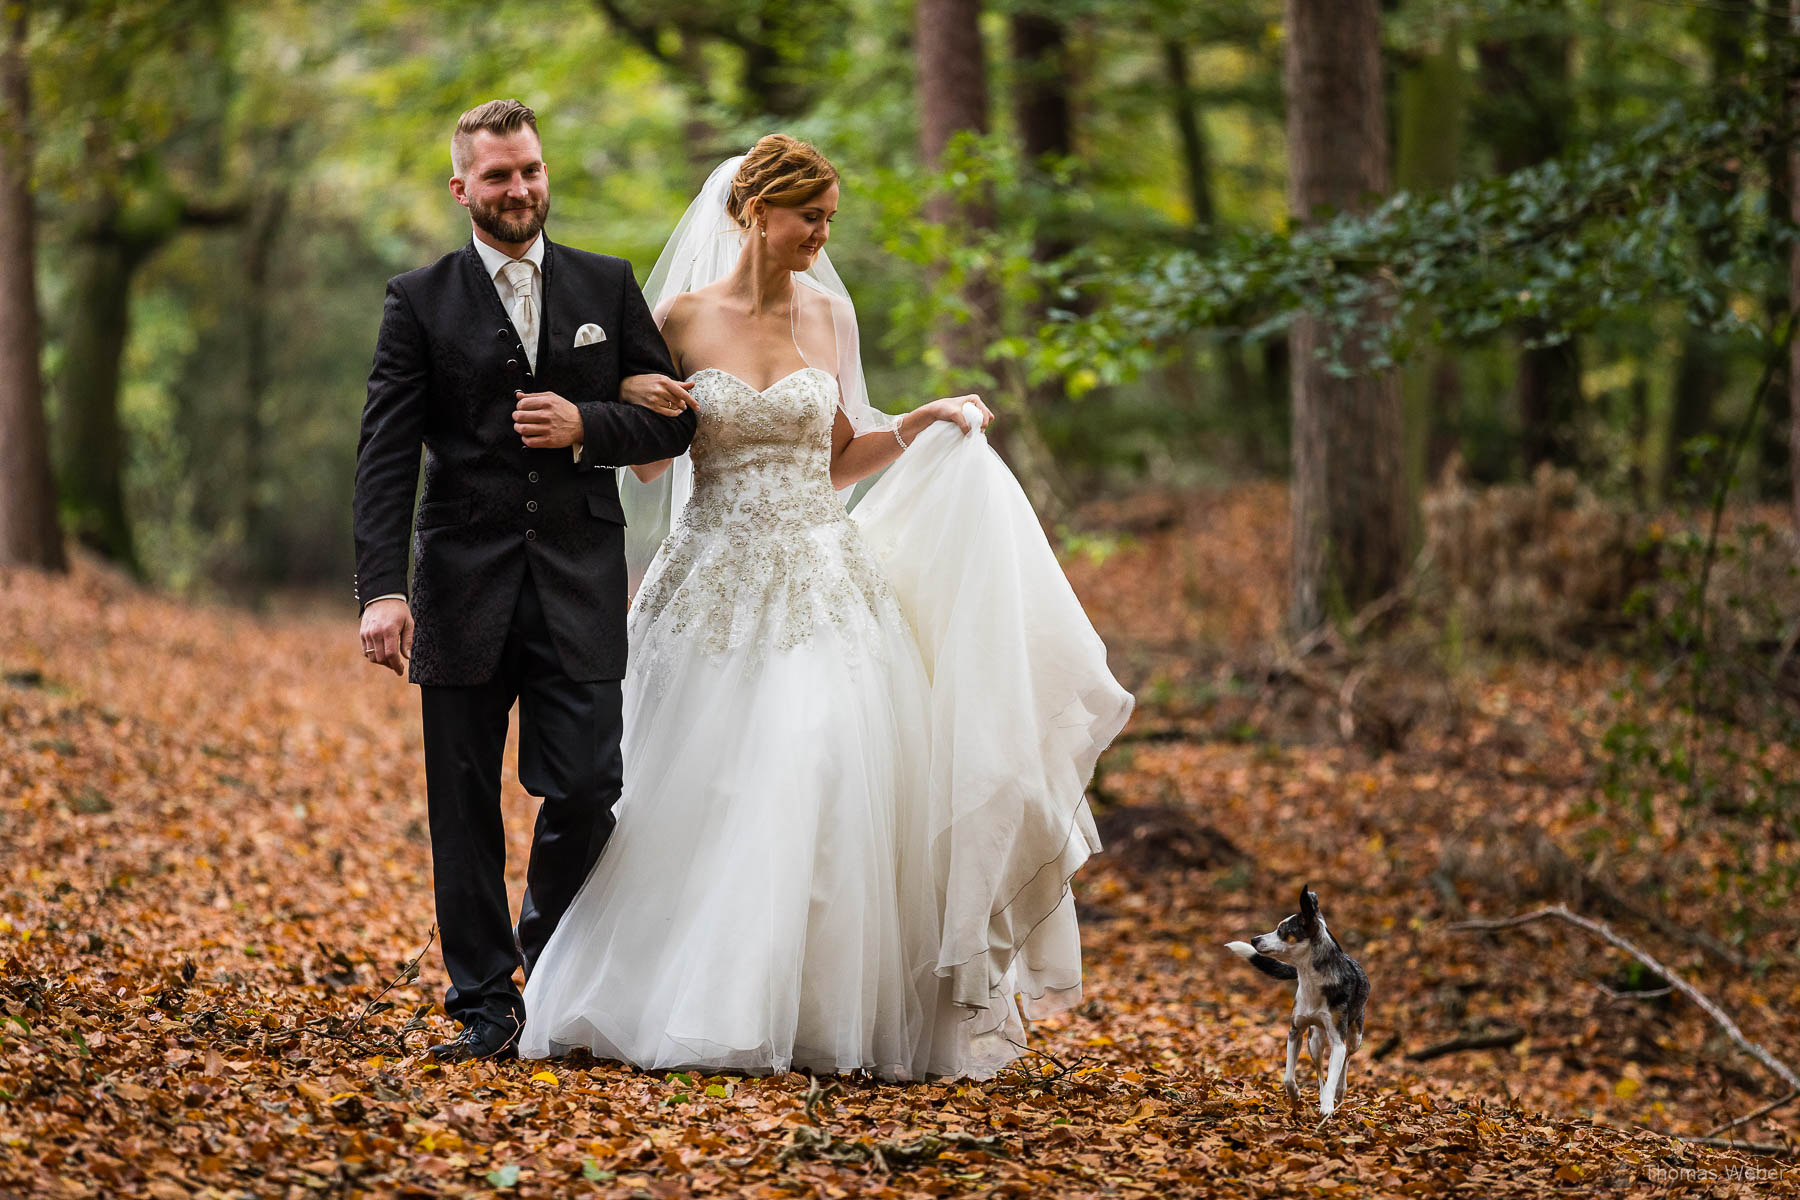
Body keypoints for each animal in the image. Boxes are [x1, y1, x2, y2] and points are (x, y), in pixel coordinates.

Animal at [1231, 888, 1368, 1122]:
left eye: (1281, 930)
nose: (1254, 939)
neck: (1312, 979)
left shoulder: (1338, 1041)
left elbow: (1334, 1073)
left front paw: (1328, 1105)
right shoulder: (1295, 1030)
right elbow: (1288, 1076)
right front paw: (1295, 1095)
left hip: (1354, 1038)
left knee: (1346, 1061)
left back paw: (1339, 1093)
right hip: (1315, 1040)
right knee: (1320, 1070)